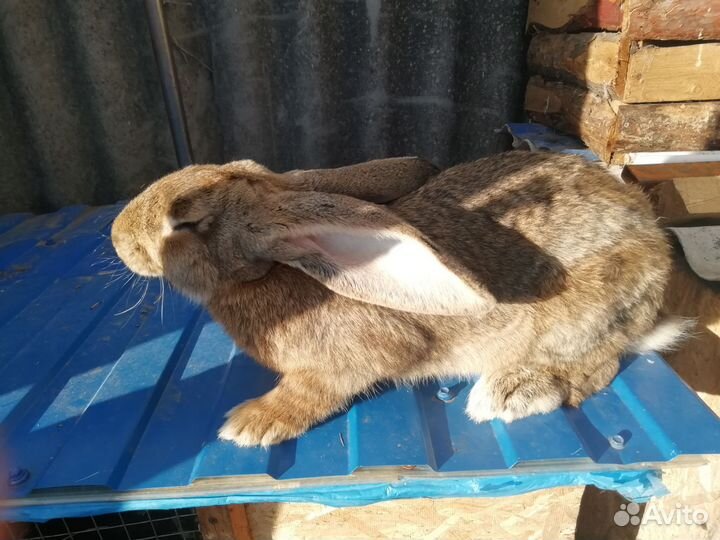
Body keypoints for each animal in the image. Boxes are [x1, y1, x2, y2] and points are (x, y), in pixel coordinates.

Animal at [111, 152, 686, 447]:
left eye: (186, 223)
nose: (117, 237)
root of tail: (656, 251)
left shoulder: (354, 360)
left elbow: (317, 389)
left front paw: (252, 423)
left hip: (586, 314)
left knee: (599, 362)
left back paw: (510, 392)